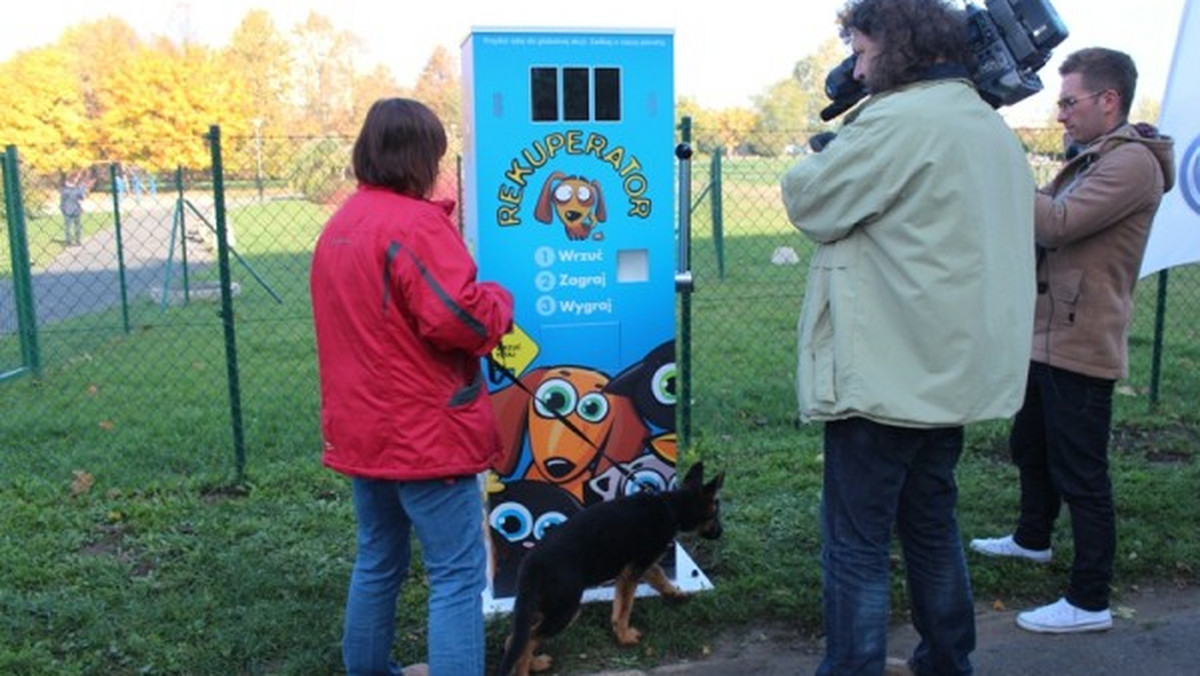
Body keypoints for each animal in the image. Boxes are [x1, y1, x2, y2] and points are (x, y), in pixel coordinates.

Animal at [494, 463, 724, 676]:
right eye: (715, 515)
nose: (721, 533)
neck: (671, 505)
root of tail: (530, 566)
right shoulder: (633, 572)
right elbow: (626, 607)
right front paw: (625, 636)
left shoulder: (637, 568)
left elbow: (655, 580)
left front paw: (676, 594)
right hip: (566, 610)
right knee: (530, 638)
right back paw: (527, 668)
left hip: (544, 607)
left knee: (515, 640)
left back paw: (534, 662)